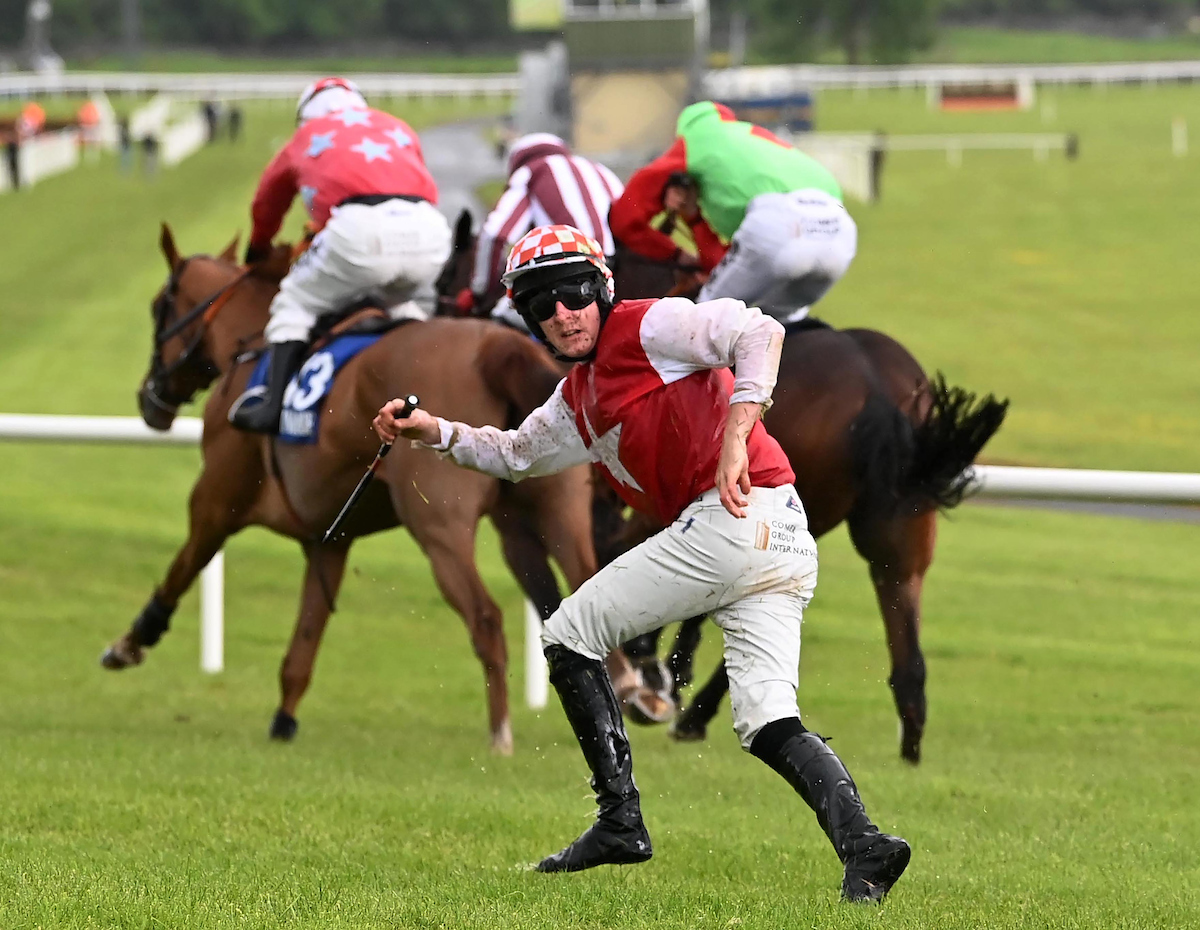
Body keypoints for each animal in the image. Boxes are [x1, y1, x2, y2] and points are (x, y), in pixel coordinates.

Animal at [100, 226, 609, 758]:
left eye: (158, 308)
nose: (149, 398)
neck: (251, 343)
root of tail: (497, 347)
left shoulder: (215, 501)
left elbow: (181, 569)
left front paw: (130, 642)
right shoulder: (328, 541)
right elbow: (305, 639)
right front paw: (284, 721)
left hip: (439, 523)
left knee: (486, 618)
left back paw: (500, 735)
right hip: (554, 506)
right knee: (585, 592)